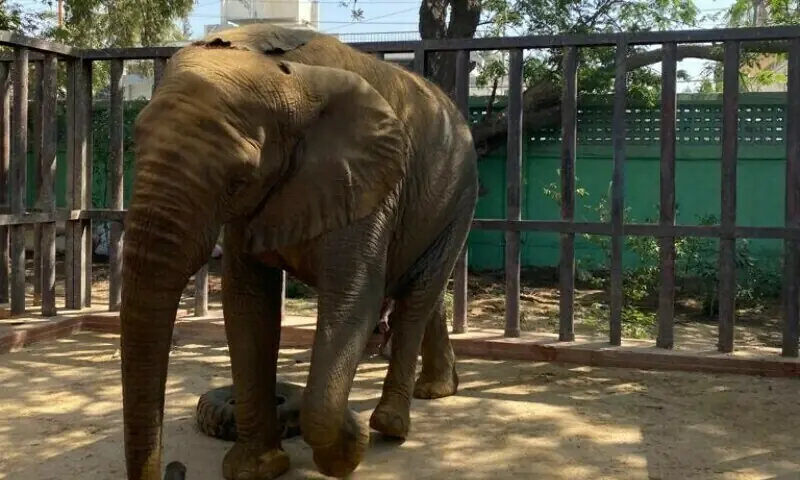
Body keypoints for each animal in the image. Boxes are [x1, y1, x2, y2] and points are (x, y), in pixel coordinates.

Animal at [119, 23, 479, 480]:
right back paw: (434, 391)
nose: (175, 468)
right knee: (421, 293)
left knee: (417, 297)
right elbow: (247, 304)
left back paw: (390, 424)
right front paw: (257, 468)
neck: (292, 79)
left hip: (460, 196)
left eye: (238, 181)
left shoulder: (367, 184)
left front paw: (349, 438)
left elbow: (352, 298)